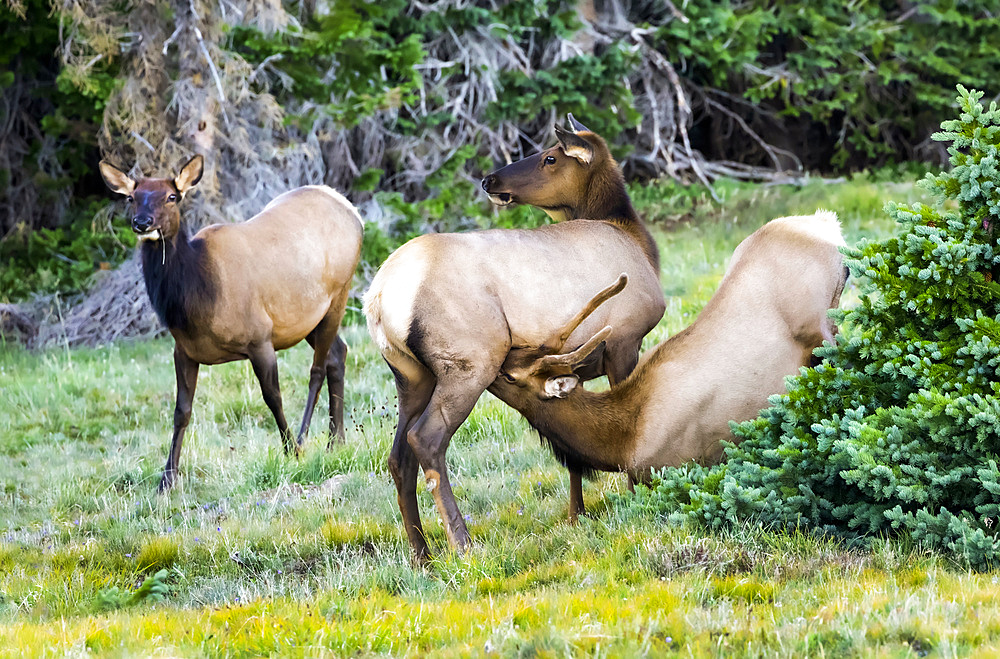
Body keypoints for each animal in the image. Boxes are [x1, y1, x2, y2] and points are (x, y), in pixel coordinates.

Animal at [97, 157, 362, 492]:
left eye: (172, 197)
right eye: (132, 197)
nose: (142, 222)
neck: (196, 303)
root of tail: (352, 211)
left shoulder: (260, 338)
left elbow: (273, 398)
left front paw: (289, 450)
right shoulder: (184, 351)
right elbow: (181, 411)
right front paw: (166, 479)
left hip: (338, 294)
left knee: (317, 368)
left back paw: (306, 439)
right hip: (309, 319)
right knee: (338, 354)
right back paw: (336, 441)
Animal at [366, 116, 664, 560]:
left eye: (550, 157)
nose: (489, 180)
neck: (636, 240)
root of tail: (379, 298)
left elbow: (571, 453)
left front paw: (577, 515)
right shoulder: (624, 340)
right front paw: (635, 500)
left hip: (411, 374)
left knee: (398, 456)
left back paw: (421, 554)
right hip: (469, 364)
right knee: (427, 440)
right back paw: (461, 543)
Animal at [488, 211, 848, 484]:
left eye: (510, 376)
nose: (493, 362)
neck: (621, 444)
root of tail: (826, 222)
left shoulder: (681, 467)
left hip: (817, 328)